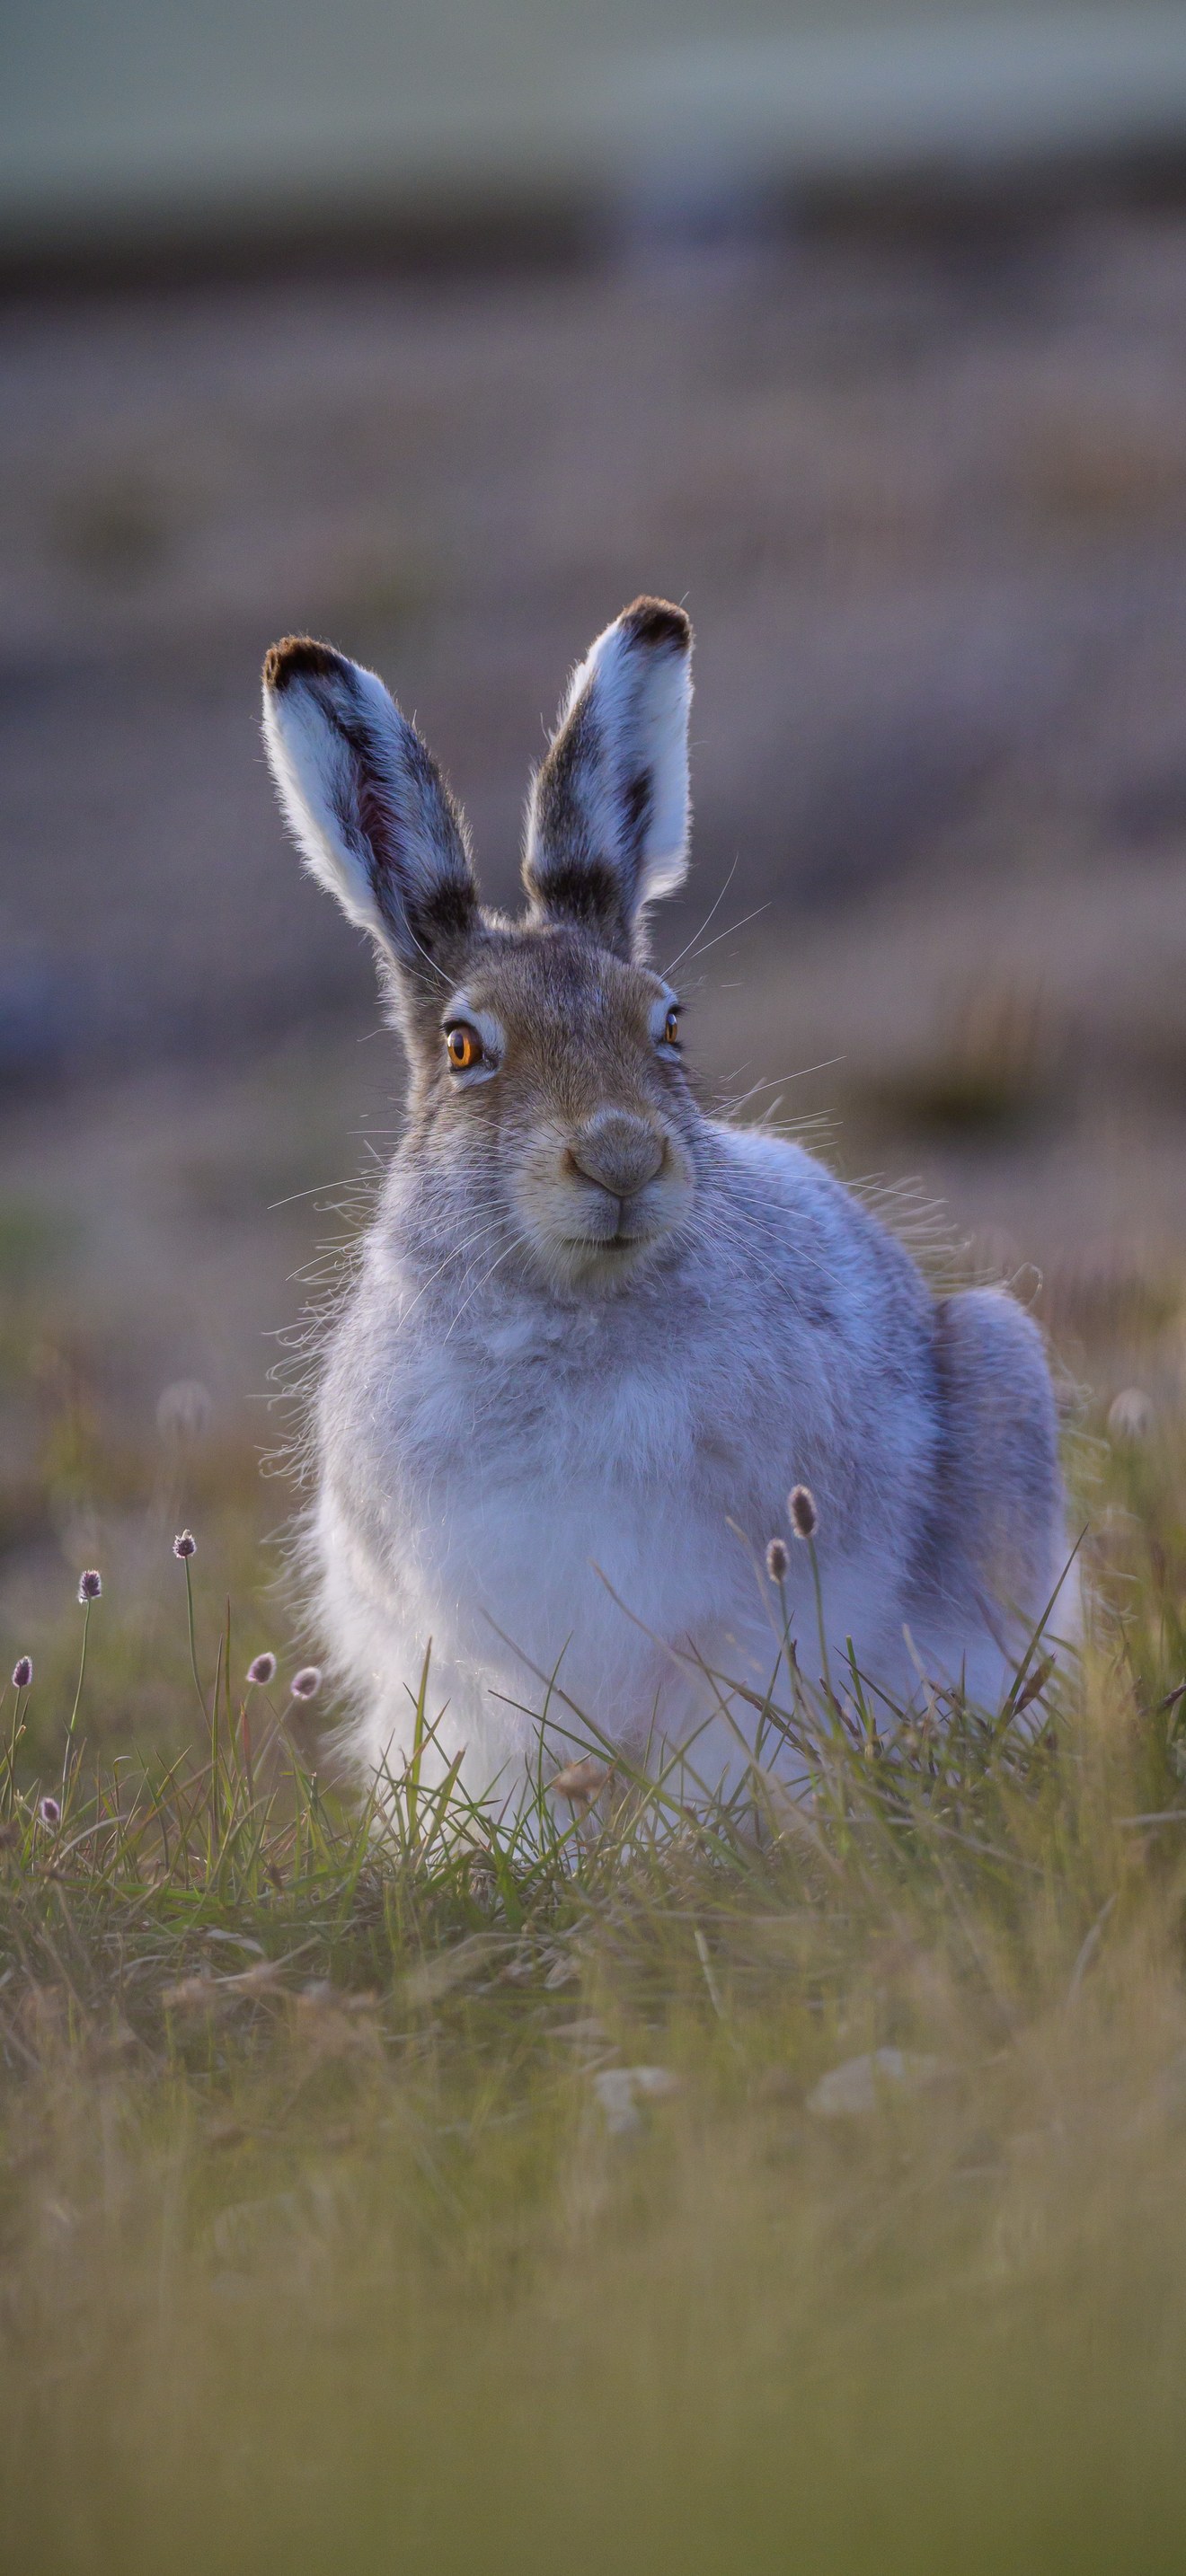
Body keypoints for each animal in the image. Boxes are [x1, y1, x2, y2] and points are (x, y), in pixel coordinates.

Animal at [261, 598, 1069, 1807]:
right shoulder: (469, 1669)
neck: (570, 1312)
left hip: (1003, 1367)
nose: (622, 1157)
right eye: (463, 1048)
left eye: (671, 1023)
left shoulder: (739, 1626)